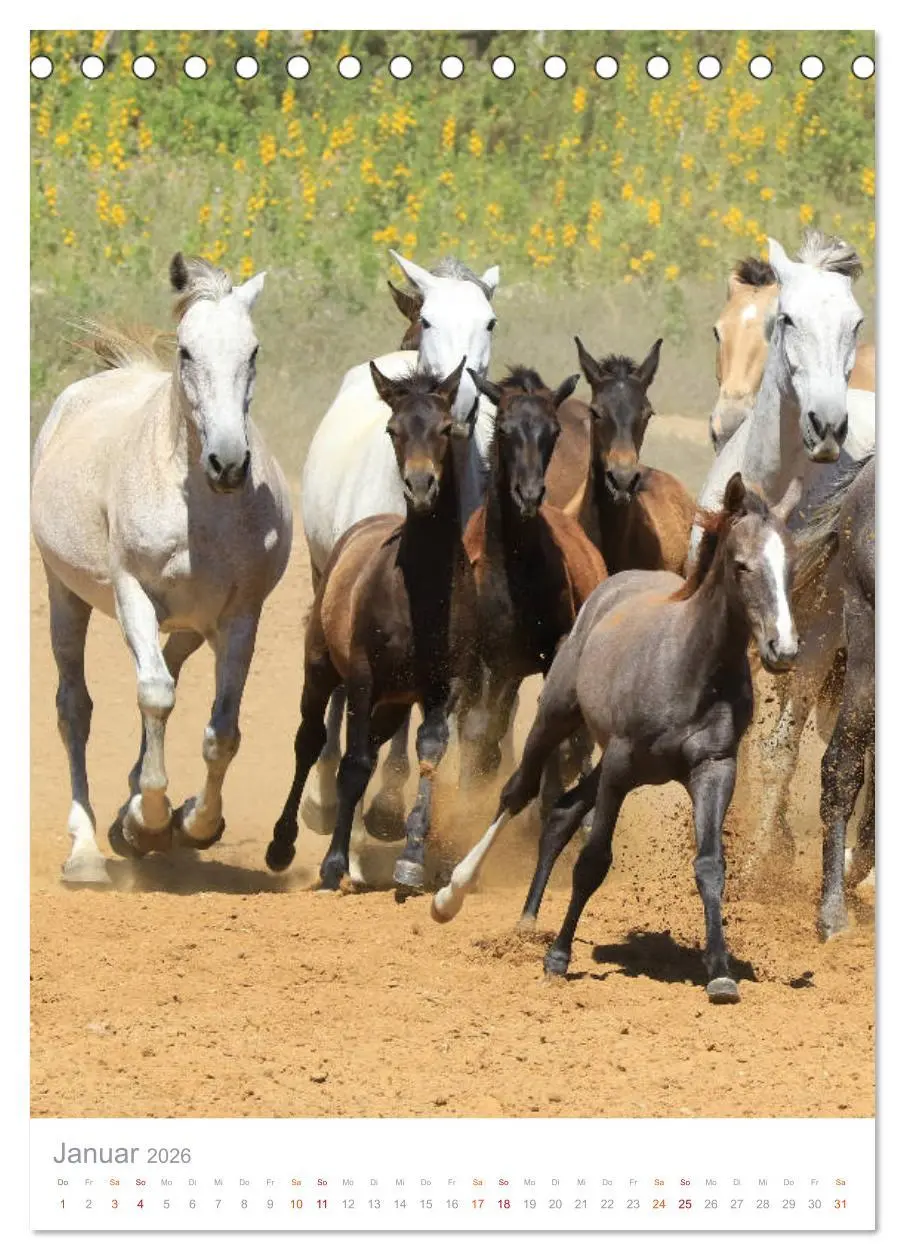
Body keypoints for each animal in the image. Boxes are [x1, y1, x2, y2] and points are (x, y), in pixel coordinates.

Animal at [31, 254, 293, 886]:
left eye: (253, 351)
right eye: (187, 352)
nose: (228, 463)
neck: (200, 509)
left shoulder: (240, 615)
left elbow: (222, 733)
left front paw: (196, 822)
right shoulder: (133, 595)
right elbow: (154, 696)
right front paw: (146, 823)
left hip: (192, 627)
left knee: (169, 671)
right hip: (64, 596)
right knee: (74, 708)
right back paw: (85, 851)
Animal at [267, 361, 481, 895]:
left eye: (446, 428)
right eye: (393, 429)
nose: (421, 487)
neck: (421, 592)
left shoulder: (442, 686)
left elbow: (428, 754)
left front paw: (410, 862)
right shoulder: (364, 678)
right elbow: (353, 765)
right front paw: (334, 864)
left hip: (392, 703)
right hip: (322, 669)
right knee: (309, 741)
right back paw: (283, 845)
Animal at [299, 252, 500, 849]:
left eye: (490, 322)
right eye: (428, 319)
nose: (461, 404)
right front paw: (383, 805)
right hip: (323, 579)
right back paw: (323, 793)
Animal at [432, 474, 802, 1004]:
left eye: (791, 565)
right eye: (741, 565)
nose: (783, 649)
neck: (691, 666)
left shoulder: (714, 769)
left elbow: (710, 865)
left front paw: (720, 971)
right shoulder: (622, 765)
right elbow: (592, 861)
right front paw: (558, 958)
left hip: (612, 763)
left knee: (562, 812)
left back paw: (527, 921)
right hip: (559, 719)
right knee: (517, 793)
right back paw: (453, 894)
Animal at [458, 367, 606, 784]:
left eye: (553, 430)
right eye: (505, 428)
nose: (529, 495)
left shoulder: (552, 649)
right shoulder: (482, 660)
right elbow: (478, 730)